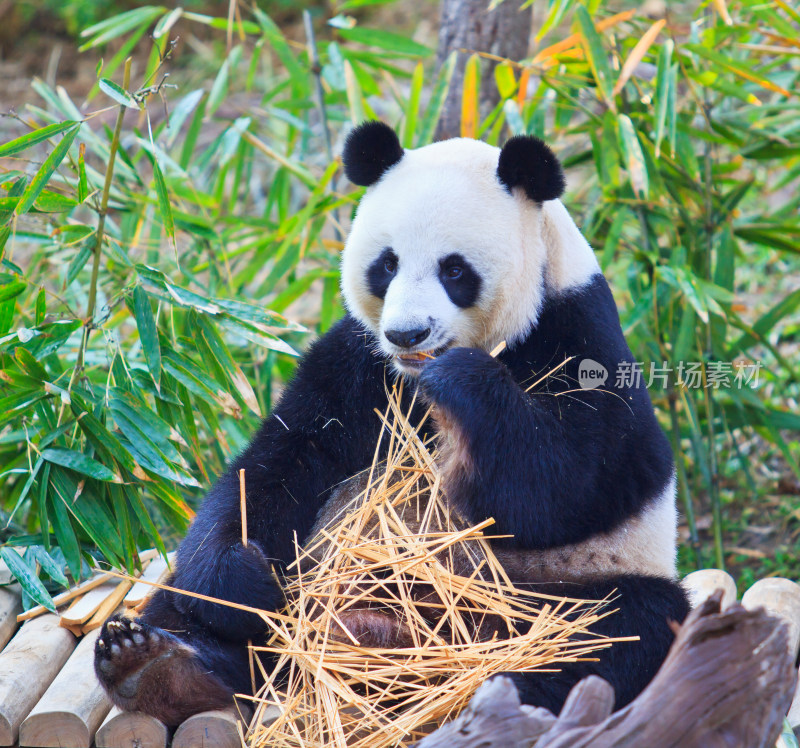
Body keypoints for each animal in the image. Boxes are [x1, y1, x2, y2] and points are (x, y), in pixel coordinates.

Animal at [94, 121, 692, 724]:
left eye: (455, 269)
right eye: (387, 264)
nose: (408, 334)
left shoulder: (577, 331)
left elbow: (575, 480)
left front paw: (461, 381)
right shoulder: (358, 362)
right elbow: (277, 465)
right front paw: (242, 584)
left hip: (552, 589)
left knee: (618, 628)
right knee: (192, 612)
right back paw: (159, 667)